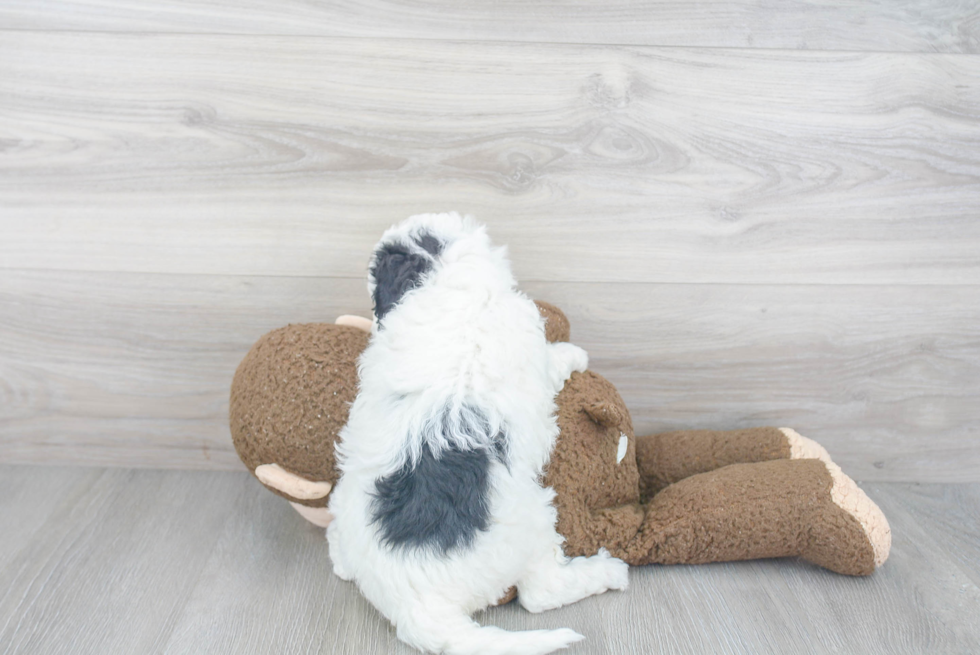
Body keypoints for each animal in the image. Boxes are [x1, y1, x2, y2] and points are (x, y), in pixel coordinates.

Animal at [328, 215, 628, 655]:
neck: (446, 279)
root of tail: (414, 605)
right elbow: (552, 359)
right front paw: (572, 354)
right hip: (531, 521)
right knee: (540, 593)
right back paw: (608, 571)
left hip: (343, 502)